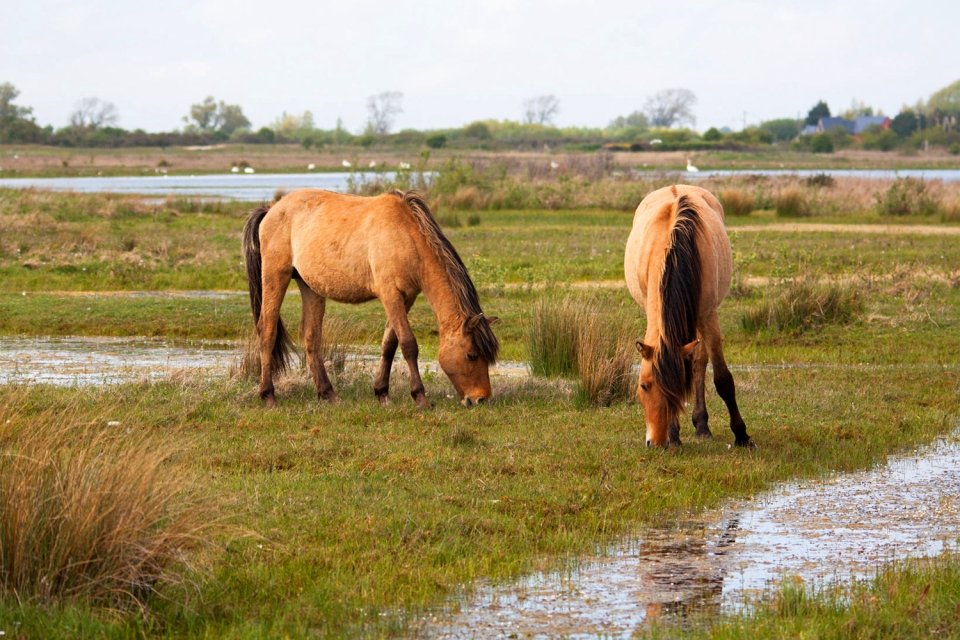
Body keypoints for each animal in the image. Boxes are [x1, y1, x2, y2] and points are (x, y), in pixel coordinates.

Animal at [240, 190, 498, 410]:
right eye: (471, 355)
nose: (480, 399)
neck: (406, 235)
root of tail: (271, 209)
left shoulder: (406, 298)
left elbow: (389, 344)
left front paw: (382, 392)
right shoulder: (390, 295)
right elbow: (408, 344)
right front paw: (420, 397)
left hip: (310, 287)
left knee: (311, 336)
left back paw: (328, 394)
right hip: (276, 276)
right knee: (267, 331)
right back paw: (269, 396)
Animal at [628, 184, 752, 444]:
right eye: (644, 385)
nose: (655, 442)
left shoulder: (708, 316)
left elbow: (722, 379)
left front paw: (741, 435)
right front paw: (674, 435)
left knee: (699, 363)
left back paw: (702, 424)